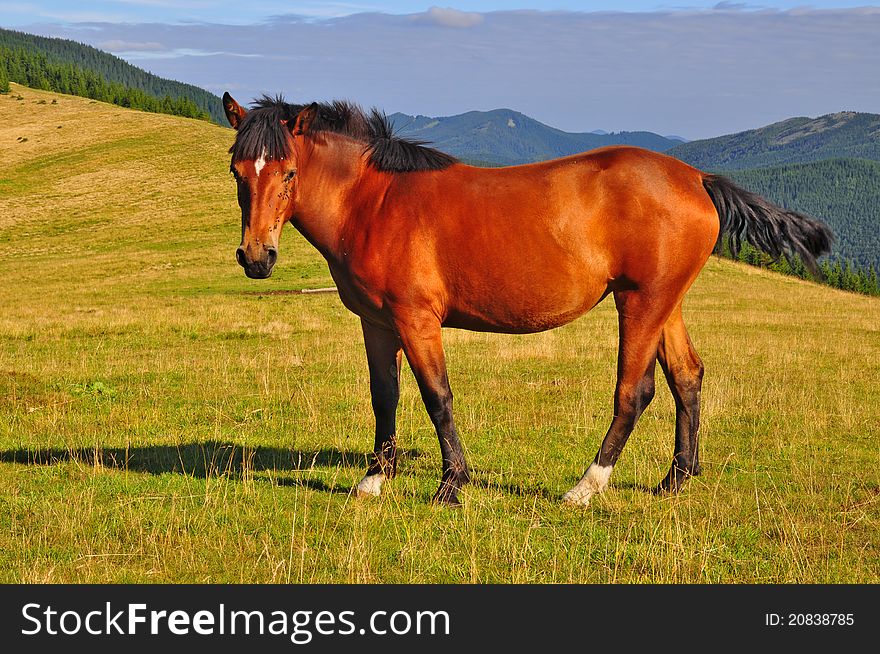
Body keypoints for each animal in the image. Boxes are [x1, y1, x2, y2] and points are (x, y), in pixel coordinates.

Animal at [220, 93, 832, 508]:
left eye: (289, 172)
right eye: (236, 170)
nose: (256, 257)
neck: (375, 201)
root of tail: (696, 177)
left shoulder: (417, 321)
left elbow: (437, 397)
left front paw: (451, 484)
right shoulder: (377, 324)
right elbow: (384, 397)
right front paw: (375, 478)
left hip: (640, 303)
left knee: (634, 392)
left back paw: (586, 486)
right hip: (665, 302)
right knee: (687, 377)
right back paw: (676, 479)